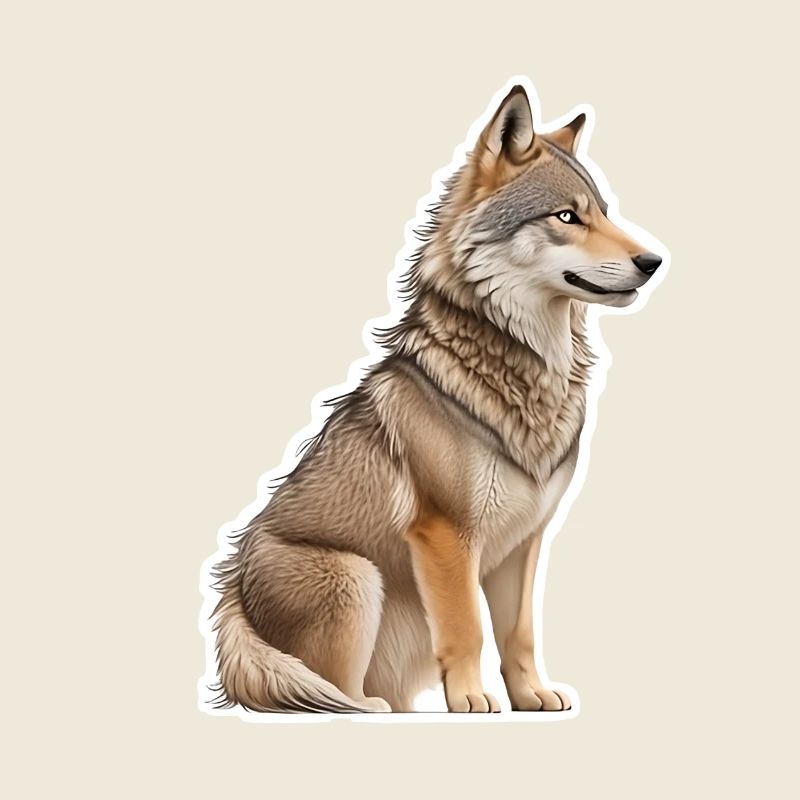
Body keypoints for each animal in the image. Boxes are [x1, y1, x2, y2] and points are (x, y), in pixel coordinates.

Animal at [208, 84, 663, 713]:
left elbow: (518, 632)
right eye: (567, 216)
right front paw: (471, 700)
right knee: (333, 689)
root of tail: (232, 594)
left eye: (604, 212)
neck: (526, 373)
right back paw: (371, 711)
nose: (654, 262)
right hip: (357, 577)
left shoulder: (525, 542)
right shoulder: (445, 535)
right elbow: (467, 627)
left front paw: (530, 696)